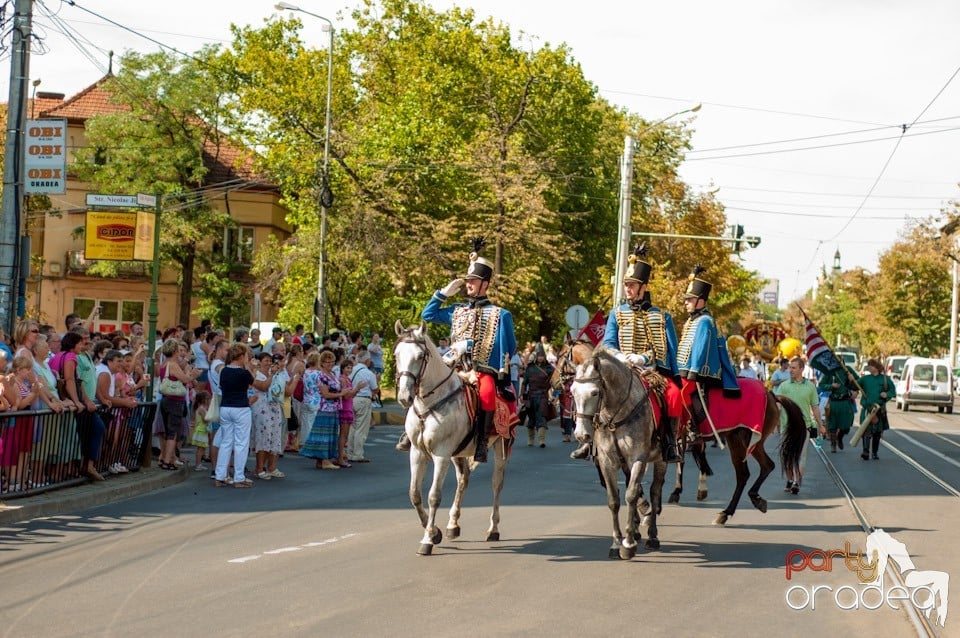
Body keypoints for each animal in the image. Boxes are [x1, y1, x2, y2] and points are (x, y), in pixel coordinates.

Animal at [392, 322, 512, 556]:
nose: (404, 397)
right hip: (460, 452)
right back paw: (452, 525)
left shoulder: (442, 454)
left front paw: (428, 538)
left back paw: (493, 528)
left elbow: (433, 496)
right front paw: (435, 531)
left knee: (497, 483)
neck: (429, 405)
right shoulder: (418, 452)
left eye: (420, 356)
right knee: (463, 479)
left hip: (501, 445)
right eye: (396, 355)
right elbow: (414, 494)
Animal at [568, 344, 668, 560]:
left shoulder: (638, 458)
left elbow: (631, 495)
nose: (581, 435)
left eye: (595, 393)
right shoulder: (607, 462)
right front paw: (616, 543)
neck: (614, 415)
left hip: (661, 459)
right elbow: (614, 500)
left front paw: (628, 544)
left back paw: (652, 535)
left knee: (654, 492)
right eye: (572, 392)